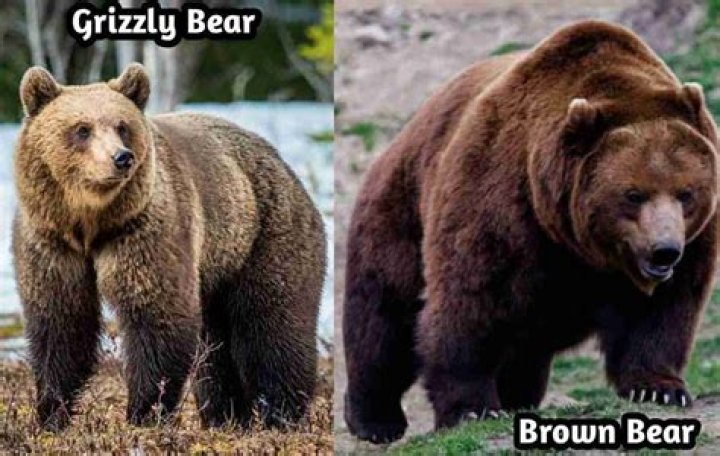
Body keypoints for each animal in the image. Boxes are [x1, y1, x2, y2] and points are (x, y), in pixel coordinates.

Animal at [12, 63, 326, 431]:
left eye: (122, 126)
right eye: (82, 129)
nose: (122, 158)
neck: (90, 222)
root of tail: (283, 164)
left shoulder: (144, 231)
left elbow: (157, 316)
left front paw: (144, 413)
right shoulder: (51, 241)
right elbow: (61, 322)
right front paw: (51, 412)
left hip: (267, 235)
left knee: (273, 327)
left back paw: (281, 414)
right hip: (219, 269)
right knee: (216, 349)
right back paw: (227, 416)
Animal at [343, 20, 719, 443]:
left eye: (686, 193)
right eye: (633, 194)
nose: (664, 250)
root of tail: (401, 135)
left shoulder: (695, 241)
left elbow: (662, 312)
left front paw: (659, 387)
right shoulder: (501, 202)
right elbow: (469, 303)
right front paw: (471, 409)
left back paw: (518, 398)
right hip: (400, 212)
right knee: (383, 318)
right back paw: (374, 418)